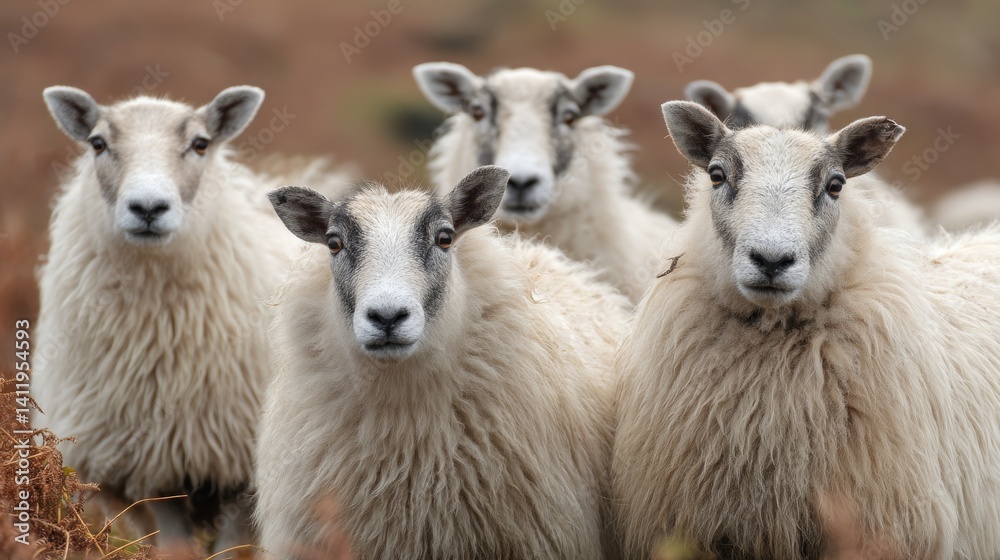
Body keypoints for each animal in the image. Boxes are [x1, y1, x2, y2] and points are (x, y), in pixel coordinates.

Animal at [33, 85, 326, 552]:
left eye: (200, 144)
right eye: (97, 143)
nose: (148, 207)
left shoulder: (240, 471)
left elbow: (231, 551)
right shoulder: (151, 468)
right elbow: (175, 548)